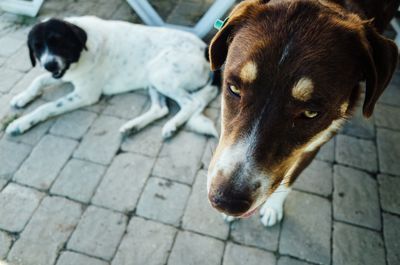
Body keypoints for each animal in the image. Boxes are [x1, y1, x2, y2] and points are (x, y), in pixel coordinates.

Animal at [5, 16, 219, 138]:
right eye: (37, 47)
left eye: (59, 42)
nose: (49, 65)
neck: (82, 50)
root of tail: (204, 49)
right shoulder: (65, 73)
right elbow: (38, 79)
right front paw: (22, 97)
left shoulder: (85, 95)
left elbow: (46, 107)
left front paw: (20, 123)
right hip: (152, 76)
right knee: (161, 109)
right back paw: (133, 127)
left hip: (159, 73)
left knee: (191, 103)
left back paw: (171, 126)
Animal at [208, 0, 398, 226]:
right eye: (234, 89)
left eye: (310, 113)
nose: (225, 201)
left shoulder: (313, 144)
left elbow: (289, 179)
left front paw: (273, 207)